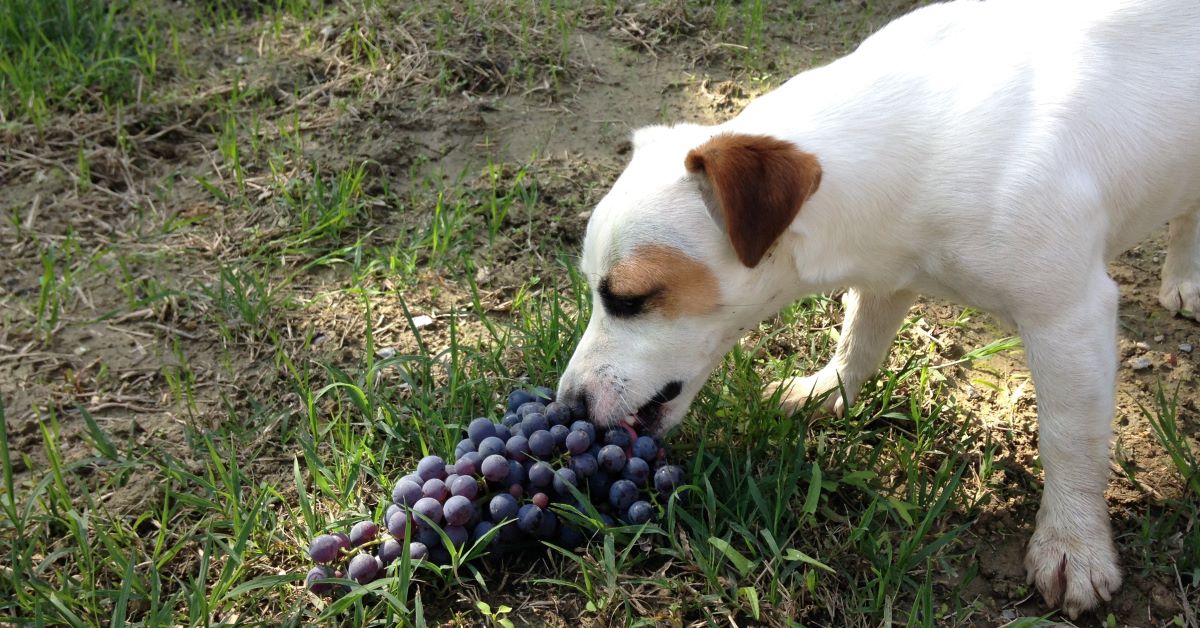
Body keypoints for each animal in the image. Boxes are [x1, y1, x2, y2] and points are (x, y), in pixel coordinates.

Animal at [554, 0, 1200, 619]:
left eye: (629, 299)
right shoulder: (887, 271)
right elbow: (859, 340)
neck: (917, 134)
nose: (569, 407)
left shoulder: (1069, 317)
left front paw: (1073, 543)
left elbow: (1070, 439)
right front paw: (824, 389)